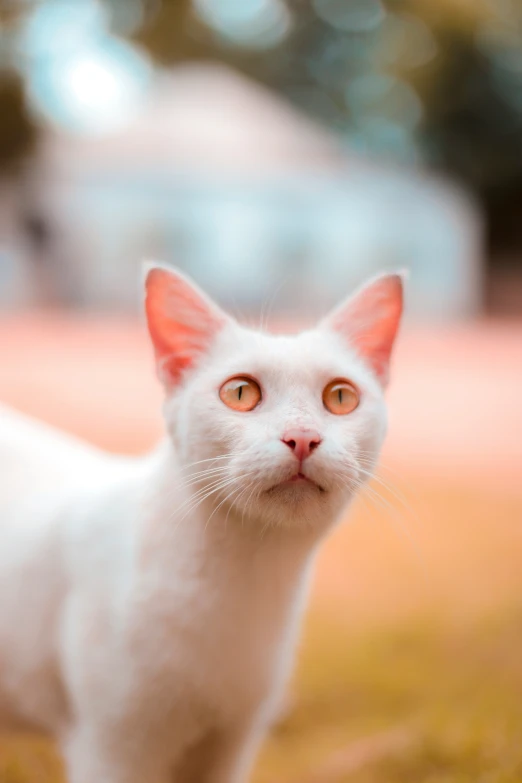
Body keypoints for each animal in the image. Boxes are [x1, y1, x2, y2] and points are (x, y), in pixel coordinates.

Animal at [0, 264, 402, 783]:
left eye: (340, 397)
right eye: (240, 392)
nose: (303, 437)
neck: (245, 582)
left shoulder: (228, 744)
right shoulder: (112, 748)